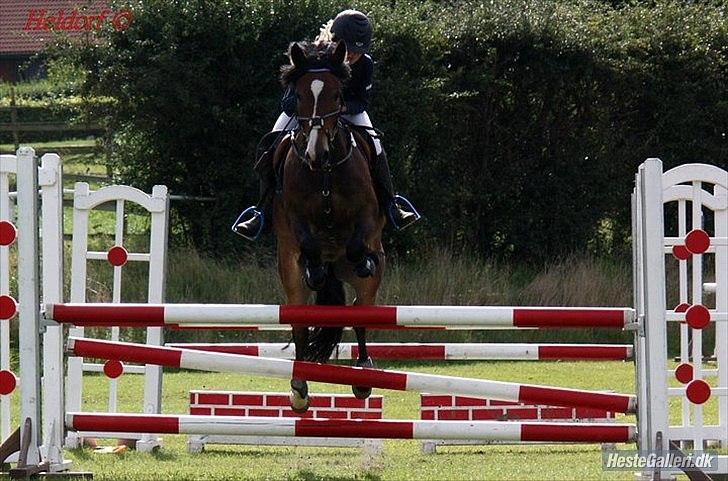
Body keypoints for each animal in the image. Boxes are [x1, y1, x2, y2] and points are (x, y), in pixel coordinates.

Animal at [271, 40, 386, 413]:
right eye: (299, 95)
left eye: (338, 95)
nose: (314, 153)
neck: (325, 172)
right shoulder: (292, 218)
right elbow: (307, 243)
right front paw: (315, 269)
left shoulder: (369, 216)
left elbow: (358, 240)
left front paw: (361, 259)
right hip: (289, 275)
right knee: (300, 323)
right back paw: (299, 388)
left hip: (370, 282)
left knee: (361, 313)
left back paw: (363, 376)